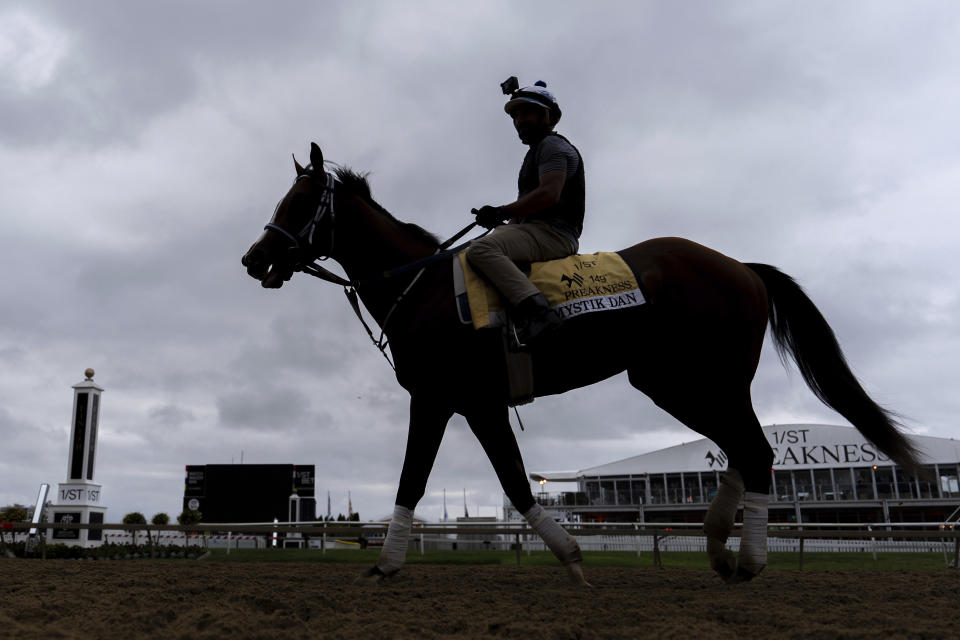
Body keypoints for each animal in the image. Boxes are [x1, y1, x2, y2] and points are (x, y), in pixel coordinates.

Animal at [242, 144, 924, 584]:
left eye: (300, 201)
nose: (254, 259)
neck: (424, 286)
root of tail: (742, 267)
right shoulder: (474, 403)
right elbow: (512, 482)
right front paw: (568, 554)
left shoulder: (440, 398)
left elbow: (419, 479)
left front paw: (385, 564)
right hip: (680, 382)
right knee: (742, 447)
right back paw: (719, 548)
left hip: (695, 379)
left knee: (753, 448)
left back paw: (748, 558)